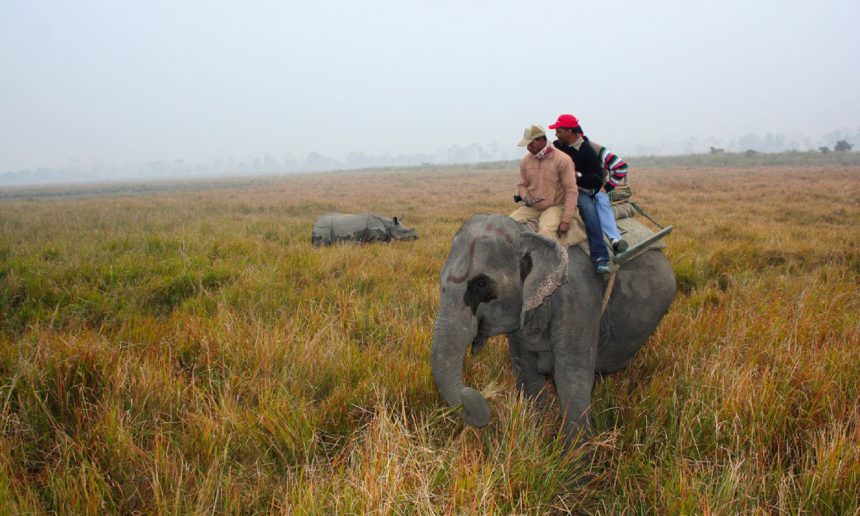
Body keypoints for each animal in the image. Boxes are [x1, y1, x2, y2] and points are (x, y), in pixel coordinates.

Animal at [430, 214, 680, 444]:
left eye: (481, 284)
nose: (474, 394)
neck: (528, 235)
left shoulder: (577, 297)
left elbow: (571, 378)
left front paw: (575, 461)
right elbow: (527, 372)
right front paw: (538, 438)